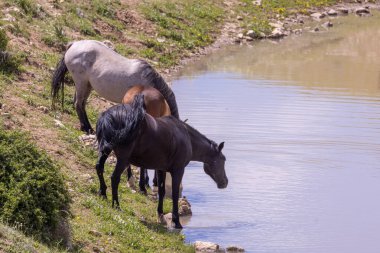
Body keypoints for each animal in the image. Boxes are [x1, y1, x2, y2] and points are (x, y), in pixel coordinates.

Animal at [50, 39, 178, 133]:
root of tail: (74, 44)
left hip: (87, 85)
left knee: (80, 103)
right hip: (81, 82)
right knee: (78, 103)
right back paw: (87, 128)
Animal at [95, 95, 229, 229]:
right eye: (223, 160)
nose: (225, 182)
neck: (187, 138)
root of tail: (108, 116)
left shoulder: (161, 169)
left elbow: (162, 190)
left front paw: (160, 215)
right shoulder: (178, 170)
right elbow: (174, 194)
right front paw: (176, 222)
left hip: (105, 150)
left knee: (99, 167)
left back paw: (103, 194)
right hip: (123, 159)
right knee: (114, 178)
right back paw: (116, 205)